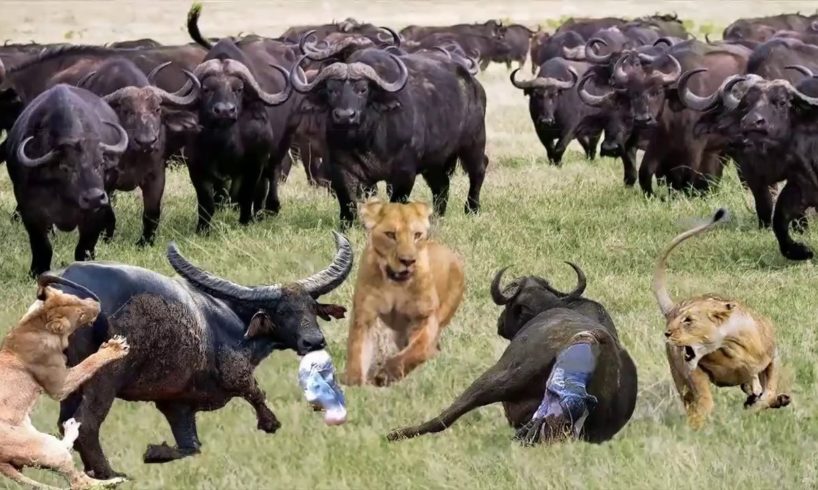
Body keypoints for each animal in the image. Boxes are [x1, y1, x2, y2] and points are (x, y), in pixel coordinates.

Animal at [0, 274, 129, 490]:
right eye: (81, 314)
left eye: (73, 297)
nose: (97, 304)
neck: (36, 324)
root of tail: (1, 461)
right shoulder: (59, 386)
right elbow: (88, 363)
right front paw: (115, 347)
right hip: (44, 447)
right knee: (78, 483)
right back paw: (116, 480)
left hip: (42, 440)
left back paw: (72, 425)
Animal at [343, 198, 465, 386]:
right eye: (390, 235)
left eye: (417, 235)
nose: (408, 261)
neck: (395, 286)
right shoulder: (364, 315)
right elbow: (357, 350)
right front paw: (353, 383)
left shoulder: (425, 317)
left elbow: (416, 350)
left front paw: (386, 374)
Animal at [652, 208, 790, 429]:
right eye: (676, 319)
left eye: (688, 320)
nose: (667, 333)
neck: (731, 348)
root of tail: (672, 305)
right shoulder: (693, 371)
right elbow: (704, 400)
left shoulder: (773, 356)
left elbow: (768, 390)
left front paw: (757, 405)